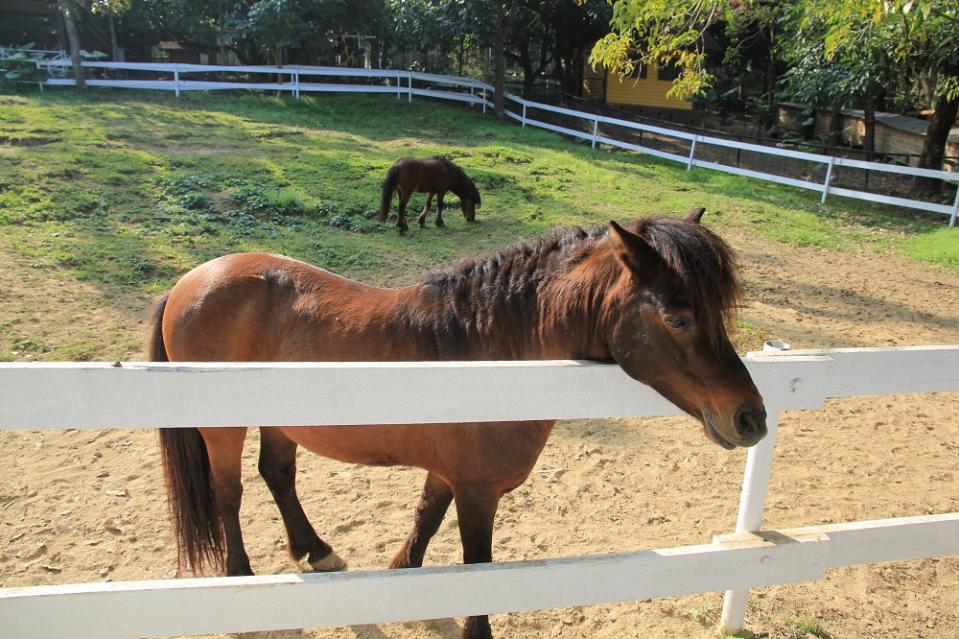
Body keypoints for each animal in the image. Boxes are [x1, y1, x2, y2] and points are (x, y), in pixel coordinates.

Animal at [156, 208, 764, 636]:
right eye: (678, 317)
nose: (751, 416)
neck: (486, 356)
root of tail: (190, 281)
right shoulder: (477, 492)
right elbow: (477, 570)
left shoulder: (449, 475)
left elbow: (425, 520)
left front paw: (404, 574)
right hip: (223, 429)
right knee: (229, 493)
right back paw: (241, 579)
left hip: (282, 423)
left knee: (278, 475)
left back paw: (317, 550)